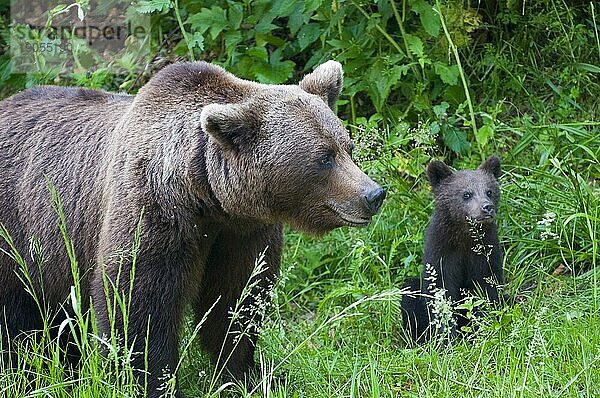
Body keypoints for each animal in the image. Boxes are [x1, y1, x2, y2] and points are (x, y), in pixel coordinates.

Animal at [0, 60, 384, 396]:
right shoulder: (154, 213)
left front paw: (248, 375)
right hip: (21, 230)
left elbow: (236, 300)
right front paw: (153, 383)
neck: (204, 196)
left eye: (347, 146)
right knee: (18, 317)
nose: (373, 194)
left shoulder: (241, 234)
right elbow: (137, 303)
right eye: (323, 158)